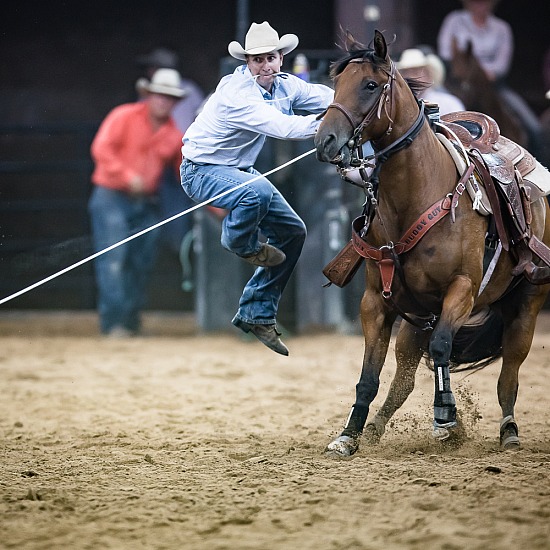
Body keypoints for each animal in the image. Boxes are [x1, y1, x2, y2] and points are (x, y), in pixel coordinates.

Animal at [314, 31, 550, 462]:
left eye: (370, 85)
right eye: (336, 84)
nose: (325, 141)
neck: (417, 195)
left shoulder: (462, 291)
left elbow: (442, 348)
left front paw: (446, 417)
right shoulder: (376, 302)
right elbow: (368, 375)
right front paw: (349, 434)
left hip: (526, 305)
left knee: (509, 373)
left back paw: (509, 431)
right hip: (416, 319)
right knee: (404, 378)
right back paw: (374, 429)